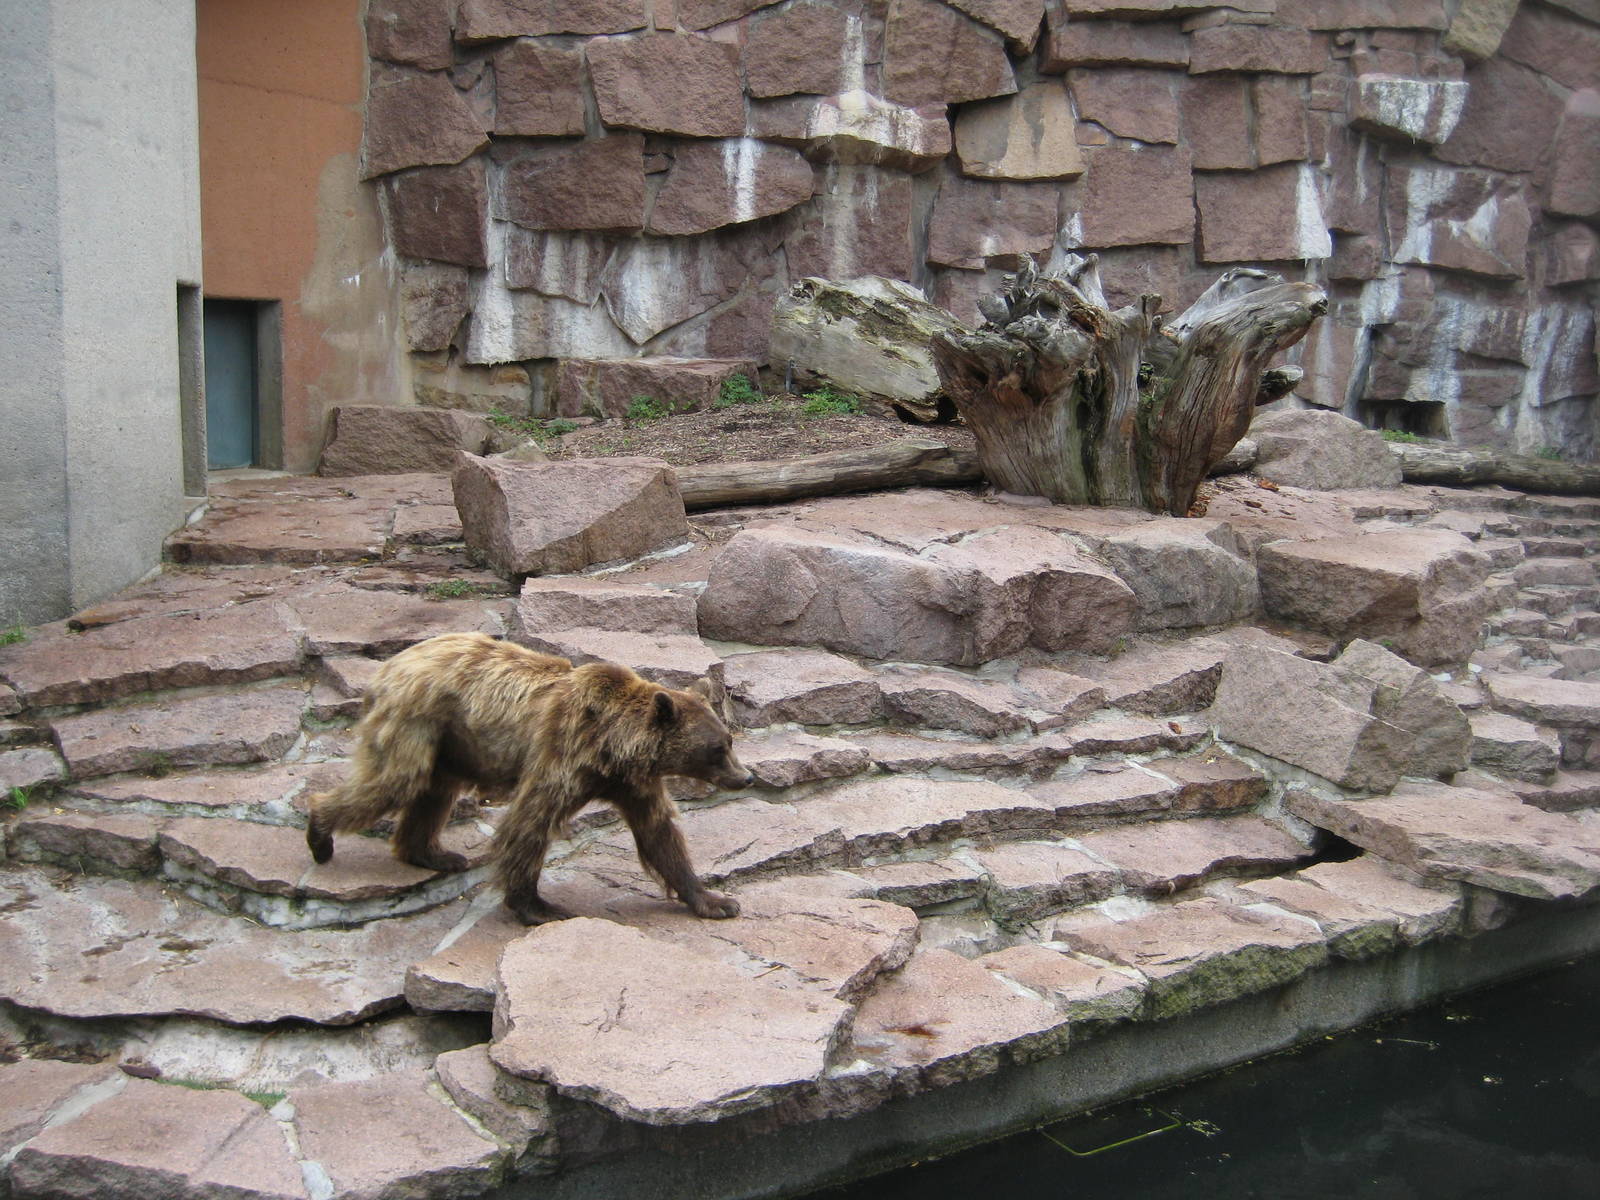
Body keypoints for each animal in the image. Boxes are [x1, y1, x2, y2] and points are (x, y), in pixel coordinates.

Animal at [305, 631, 751, 923]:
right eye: (717, 749)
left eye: (728, 740)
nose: (745, 777)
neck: (612, 748)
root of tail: (389, 667)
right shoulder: (562, 755)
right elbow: (529, 823)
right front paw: (539, 906)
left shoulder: (631, 784)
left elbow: (659, 834)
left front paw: (715, 901)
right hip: (418, 720)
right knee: (393, 782)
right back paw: (320, 834)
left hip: (449, 743)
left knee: (433, 791)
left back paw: (435, 853)